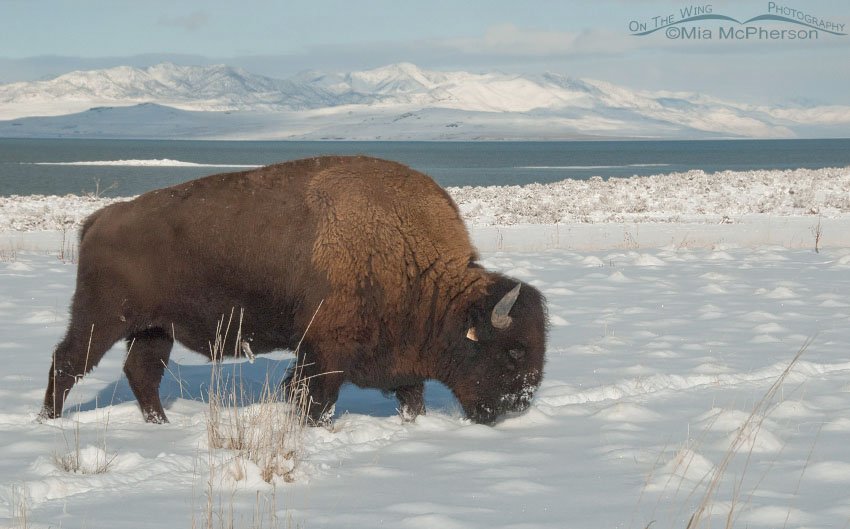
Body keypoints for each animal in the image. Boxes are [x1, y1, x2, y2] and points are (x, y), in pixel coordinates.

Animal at [40, 155, 547, 425]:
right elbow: (315, 399)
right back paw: (49, 420)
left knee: (141, 373)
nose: (516, 406)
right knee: (67, 361)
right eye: (514, 351)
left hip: (153, 330)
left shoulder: (400, 363)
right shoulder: (323, 355)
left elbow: (412, 396)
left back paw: (160, 423)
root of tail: (100, 218)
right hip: (103, 319)